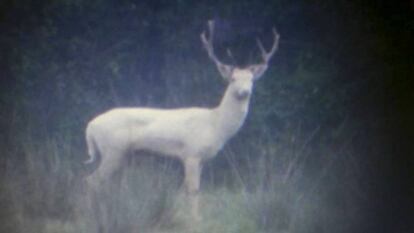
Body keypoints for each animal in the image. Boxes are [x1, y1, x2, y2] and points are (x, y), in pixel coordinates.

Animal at [83, 20, 278, 220]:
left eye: (252, 79)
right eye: (232, 78)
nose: (244, 92)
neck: (215, 124)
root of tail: (90, 127)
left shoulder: (201, 160)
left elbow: (190, 190)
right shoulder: (191, 153)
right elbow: (193, 190)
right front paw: (195, 220)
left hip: (120, 154)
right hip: (112, 150)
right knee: (91, 181)